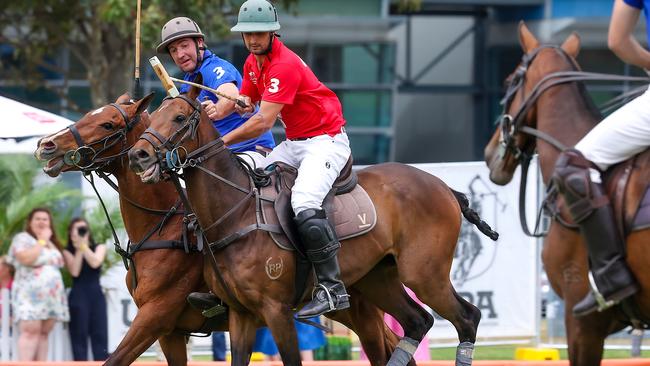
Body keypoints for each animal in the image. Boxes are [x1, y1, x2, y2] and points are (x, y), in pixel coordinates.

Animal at [31, 93, 416, 364]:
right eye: (89, 114)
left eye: (109, 124)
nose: (45, 145)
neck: (163, 225)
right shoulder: (171, 332)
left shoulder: (155, 316)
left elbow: (113, 360)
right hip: (353, 305)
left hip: (359, 305)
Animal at [126, 78, 494, 366]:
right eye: (151, 116)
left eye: (179, 117)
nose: (137, 155)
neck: (235, 211)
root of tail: (445, 187)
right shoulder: (240, 312)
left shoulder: (275, 310)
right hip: (379, 277)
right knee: (417, 322)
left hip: (424, 274)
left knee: (467, 318)